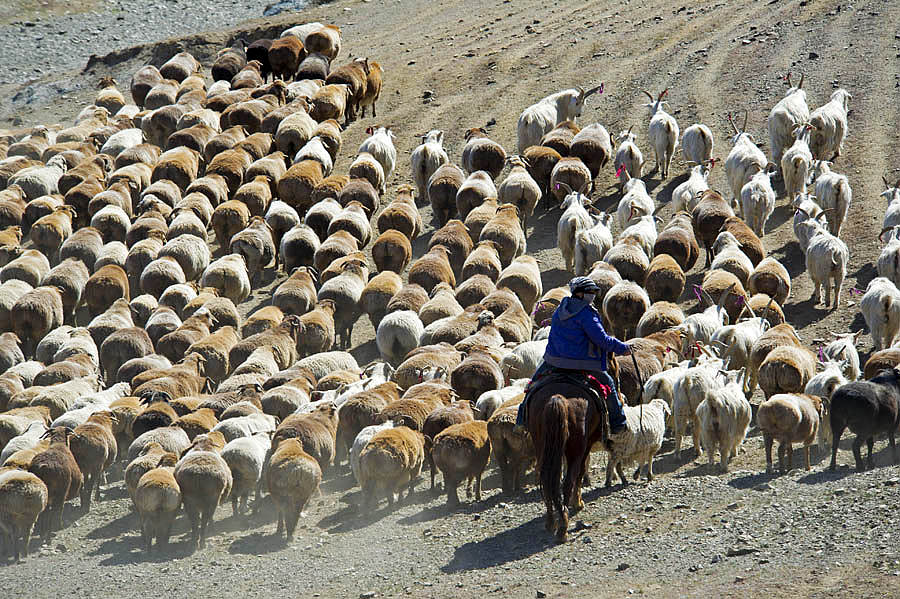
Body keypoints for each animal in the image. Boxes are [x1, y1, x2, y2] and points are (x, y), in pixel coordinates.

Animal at [524, 384, 608, 544]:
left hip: (541, 447)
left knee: (547, 482)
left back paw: (551, 523)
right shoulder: (587, 445)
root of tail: (558, 398)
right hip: (576, 449)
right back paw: (563, 528)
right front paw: (578, 502)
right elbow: (581, 471)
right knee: (568, 481)